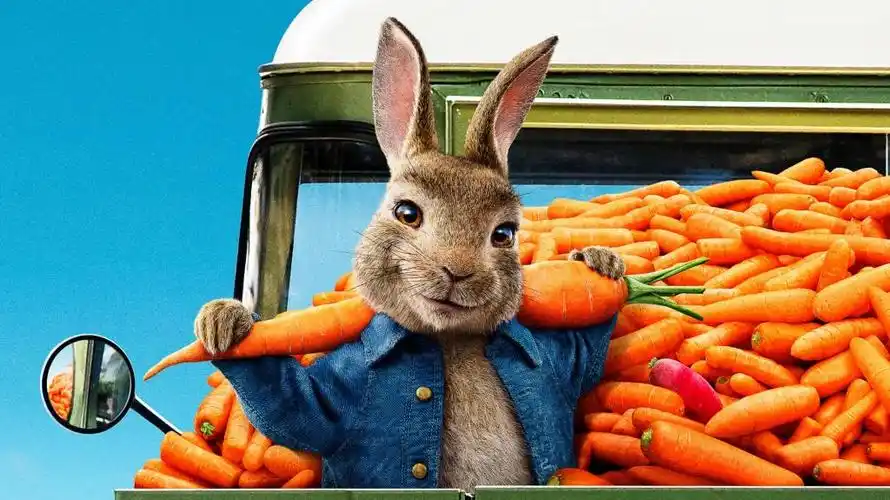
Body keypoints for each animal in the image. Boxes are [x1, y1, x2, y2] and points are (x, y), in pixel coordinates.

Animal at [195, 17, 624, 492]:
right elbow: (297, 410)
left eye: (504, 234)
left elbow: (585, 356)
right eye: (406, 213)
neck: (450, 340)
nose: (457, 271)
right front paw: (223, 321)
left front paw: (600, 261)